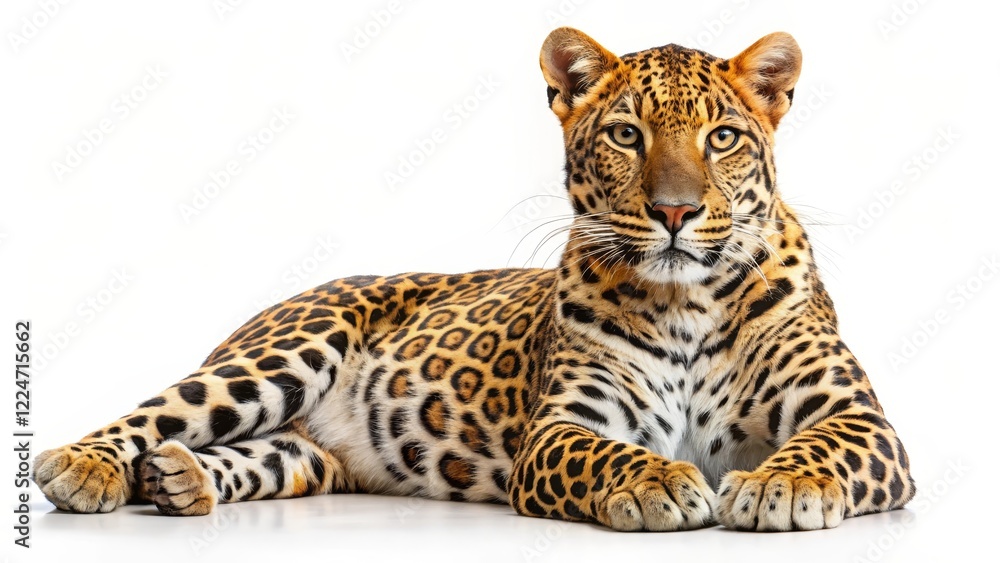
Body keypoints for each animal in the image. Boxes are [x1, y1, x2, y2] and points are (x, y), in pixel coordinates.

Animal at [34, 27, 915, 532]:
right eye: (626, 135)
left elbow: (824, 443)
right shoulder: (561, 426)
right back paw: (85, 467)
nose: (674, 210)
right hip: (281, 353)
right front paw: (664, 479)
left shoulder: (860, 418)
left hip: (304, 453)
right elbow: (610, 454)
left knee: (252, 452)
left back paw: (178, 479)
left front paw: (779, 485)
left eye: (722, 137)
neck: (687, 300)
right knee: (156, 411)